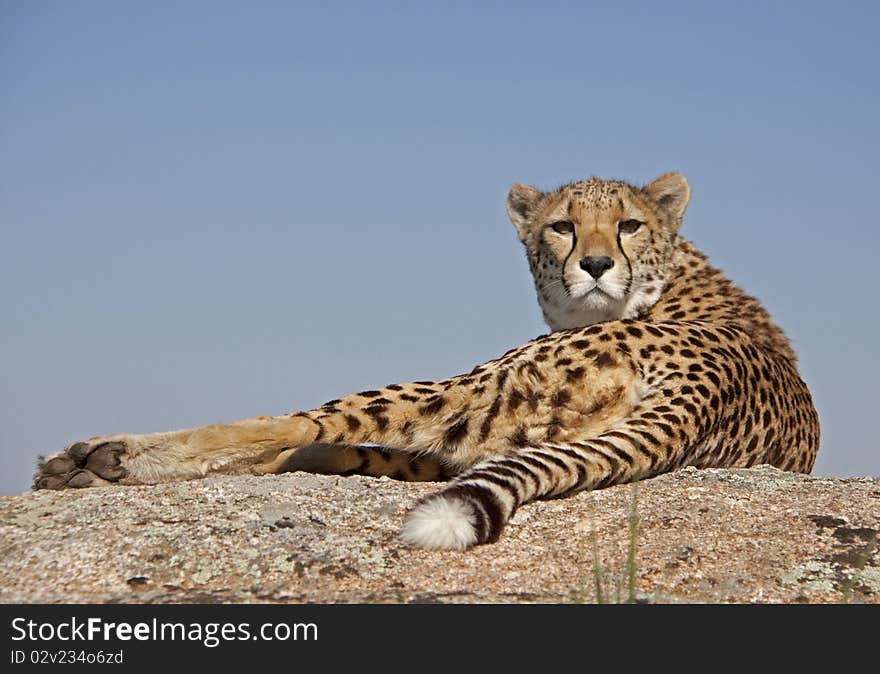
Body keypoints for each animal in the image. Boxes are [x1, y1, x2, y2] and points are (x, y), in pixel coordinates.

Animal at [34, 171, 820, 548]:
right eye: (562, 227)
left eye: (627, 225)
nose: (596, 264)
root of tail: (704, 392)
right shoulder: (481, 439)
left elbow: (310, 433)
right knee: (340, 440)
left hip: (468, 387)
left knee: (296, 423)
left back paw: (102, 458)